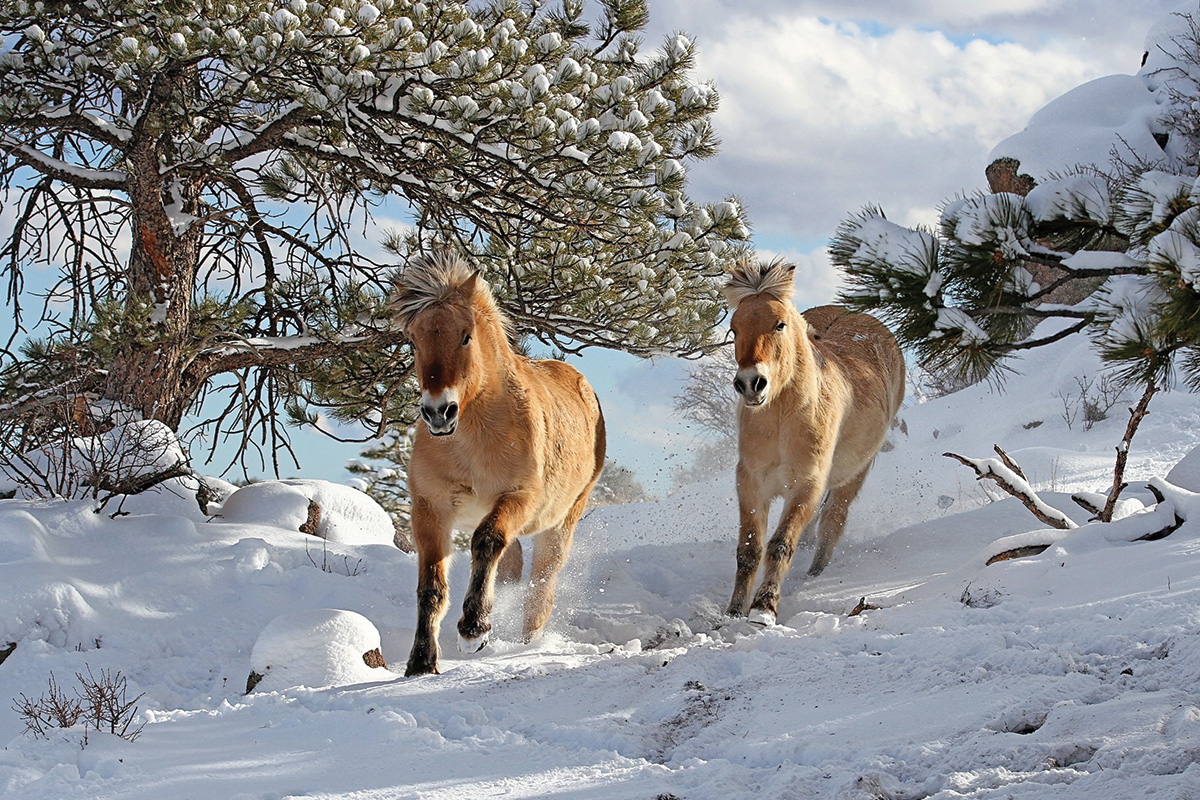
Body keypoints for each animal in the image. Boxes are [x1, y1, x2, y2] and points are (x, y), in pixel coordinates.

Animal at [388, 250, 604, 676]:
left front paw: (474, 628)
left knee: (541, 583)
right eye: (413, 340)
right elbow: (431, 586)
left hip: (560, 523)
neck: (471, 439)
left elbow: (486, 543)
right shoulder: (430, 509)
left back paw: (527, 642)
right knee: (512, 568)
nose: (438, 412)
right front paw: (421, 661)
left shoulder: (518, 497)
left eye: (465, 335)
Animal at [720, 260, 902, 628]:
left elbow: (780, 544)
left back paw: (814, 575)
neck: (781, 420)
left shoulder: (806, 484)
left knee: (832, 522)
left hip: (855, 474)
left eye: (779, 324)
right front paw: (734, 612)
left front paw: (763, 610)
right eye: (734, 329)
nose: (750, 383)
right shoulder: (750, 483)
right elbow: (749, 550)